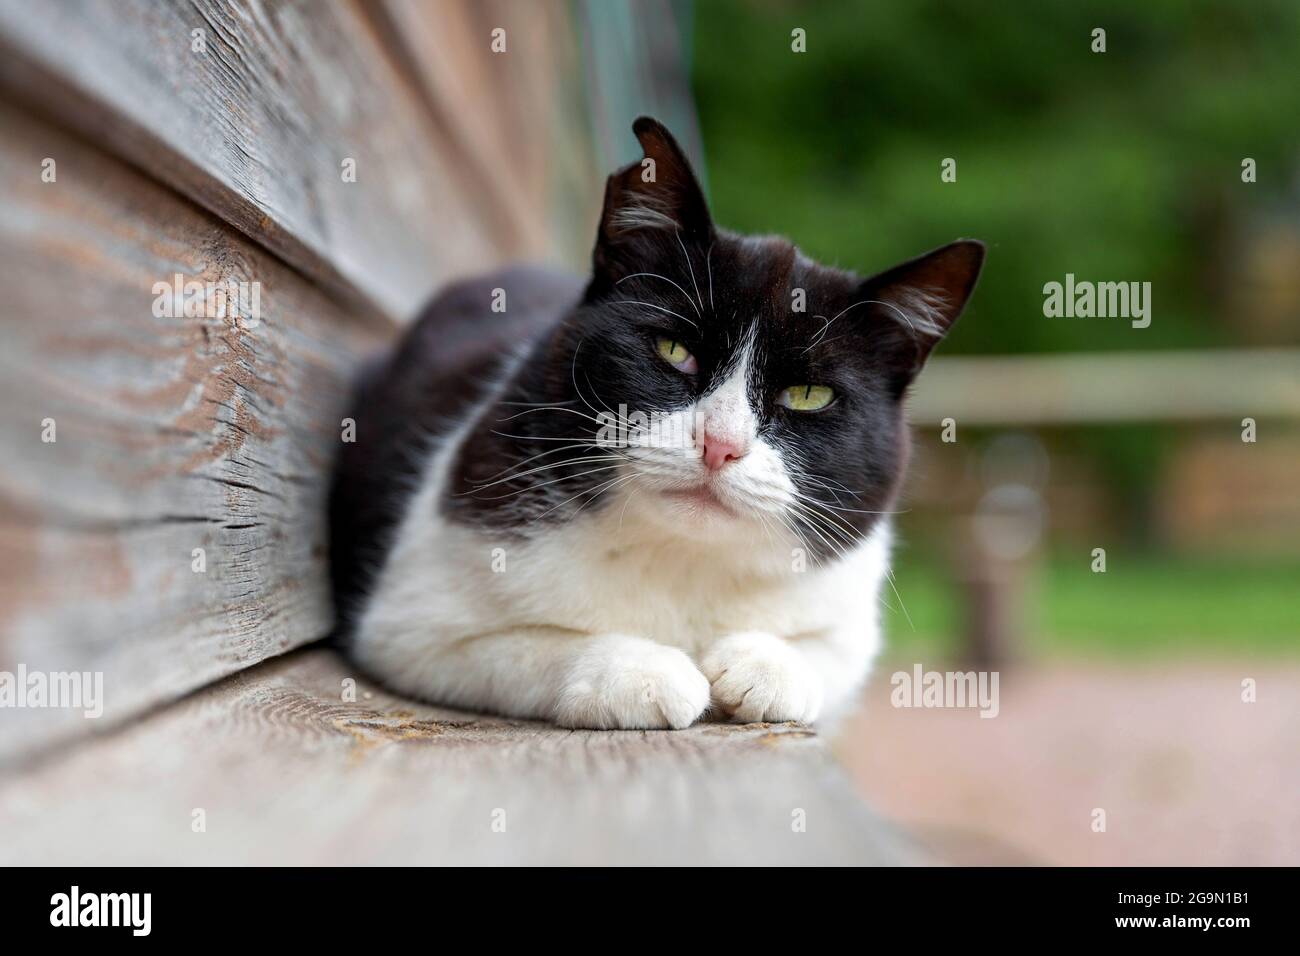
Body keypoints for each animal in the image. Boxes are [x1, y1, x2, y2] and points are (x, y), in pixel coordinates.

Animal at [327, 119, 982, 733]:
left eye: (808, 394)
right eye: (674, 351)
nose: (720, 445)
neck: (685, 559)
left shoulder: (848, 611)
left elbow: (831, 655)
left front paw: (767, 666)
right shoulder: (413, 622)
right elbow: (521, 645)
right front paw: (639, 671)